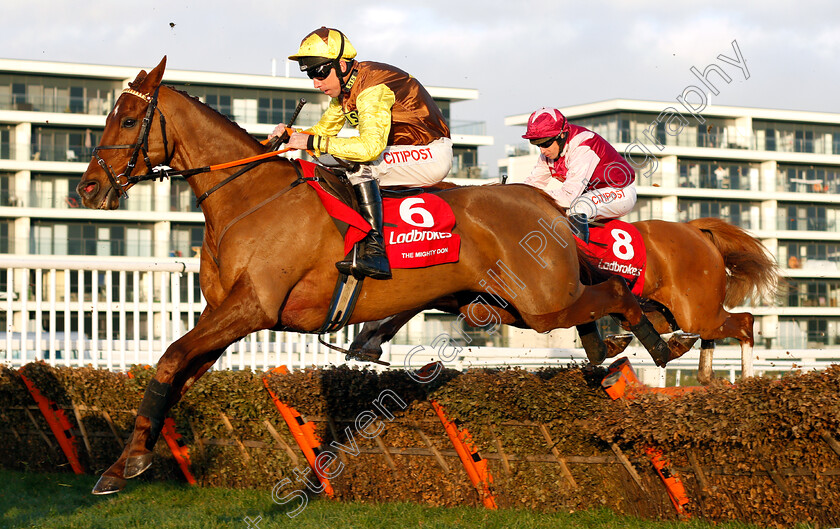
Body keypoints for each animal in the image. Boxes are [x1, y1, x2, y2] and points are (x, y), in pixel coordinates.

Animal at [77, 59, 668, 492]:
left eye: (126, 121)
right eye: (106, 117)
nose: (87, 189)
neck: (250, 198)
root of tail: (548, 203)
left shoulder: (253, 308)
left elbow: (170, 358)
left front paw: (127, 465)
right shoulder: (223, 315)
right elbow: (175, 372)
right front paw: (126, 462)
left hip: (540, 305)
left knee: (615, 290)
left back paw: (658, 346)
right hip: (507, 306)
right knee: (594, 306)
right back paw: (609, 357)